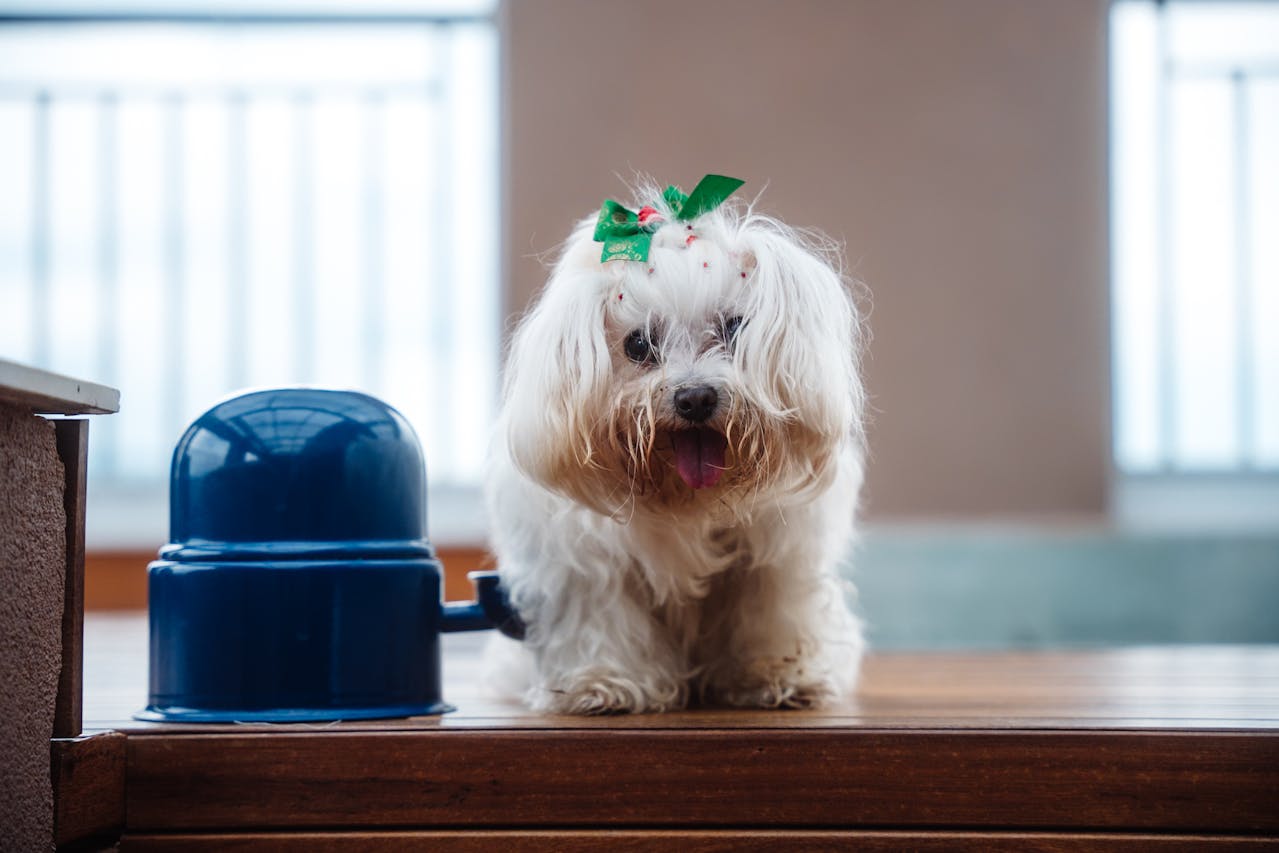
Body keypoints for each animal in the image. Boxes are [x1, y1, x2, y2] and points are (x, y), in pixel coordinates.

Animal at [483, 175, 864, 716]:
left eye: (733, 328)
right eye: (639, 344)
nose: (695, 397)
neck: (684, 499)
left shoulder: (773, 558)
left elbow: (768, 614)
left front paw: (771, 676)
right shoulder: (587, 564)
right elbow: (603, 617)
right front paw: (606, 682)